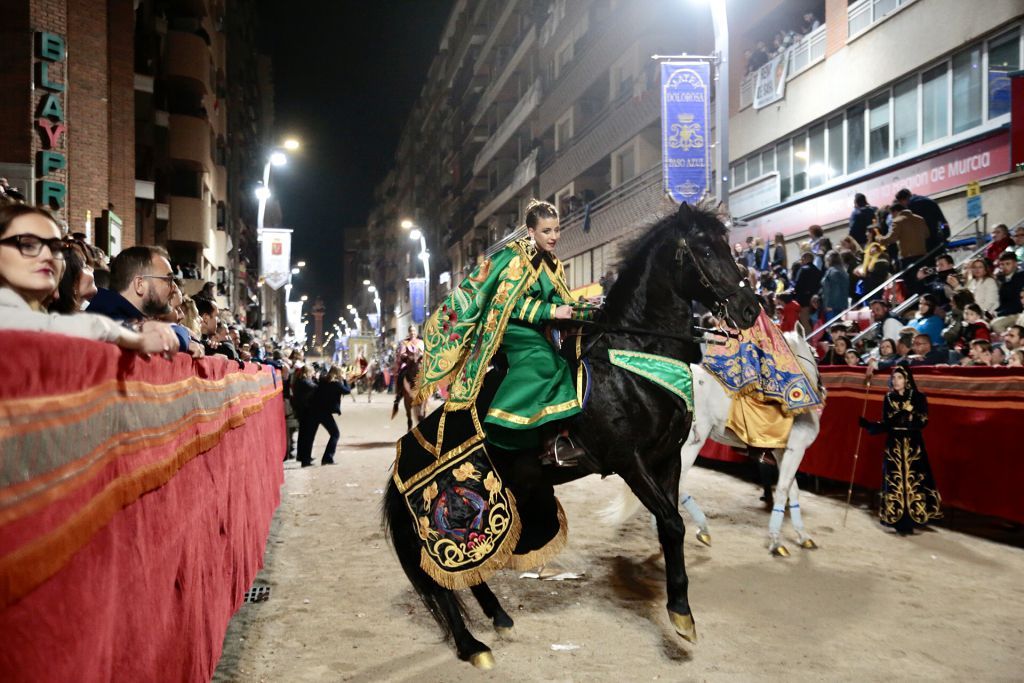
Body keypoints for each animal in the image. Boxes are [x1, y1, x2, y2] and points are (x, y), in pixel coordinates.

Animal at [382, 201, 761, 667]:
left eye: (728, 244)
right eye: (706, 251)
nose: (750, 308)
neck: (634, 352)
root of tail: (402, 459)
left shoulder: (666, 458)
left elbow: (668, 524)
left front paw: (680, 606)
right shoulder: (628, 461)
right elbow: (672, 523)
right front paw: (680, 616)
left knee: (469, 574)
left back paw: (498, 617)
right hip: (455, 519)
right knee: (445, 575)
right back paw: (472, 645)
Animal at [606, 327, 823, 557]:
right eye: (815, 355)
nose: (821, 386)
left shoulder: (782, 452)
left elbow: (793, 490)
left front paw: (803, 536)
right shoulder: (795, 449)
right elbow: (783, 490)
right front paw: (776, 541)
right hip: (691, 443)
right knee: (677, 483)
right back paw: (694, 530)